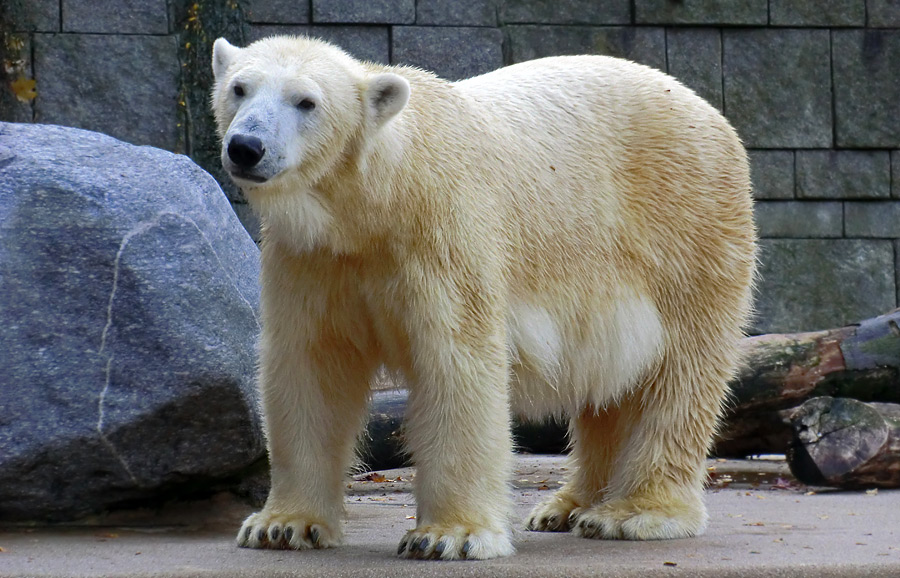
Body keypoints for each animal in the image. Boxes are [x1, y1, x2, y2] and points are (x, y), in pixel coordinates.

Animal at [213, 36, 760, 560]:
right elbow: (311, 365)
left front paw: (448, 536)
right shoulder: (314, 258)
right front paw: (281, 525)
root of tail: (709, 112)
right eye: (239, 88)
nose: (246, 147)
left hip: (686, 230)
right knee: (607, 382)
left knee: (678, 372)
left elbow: (457, 363)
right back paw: (566, 506)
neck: (378, 202)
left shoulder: (444, 233)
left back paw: (633, 513)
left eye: (306, 101)